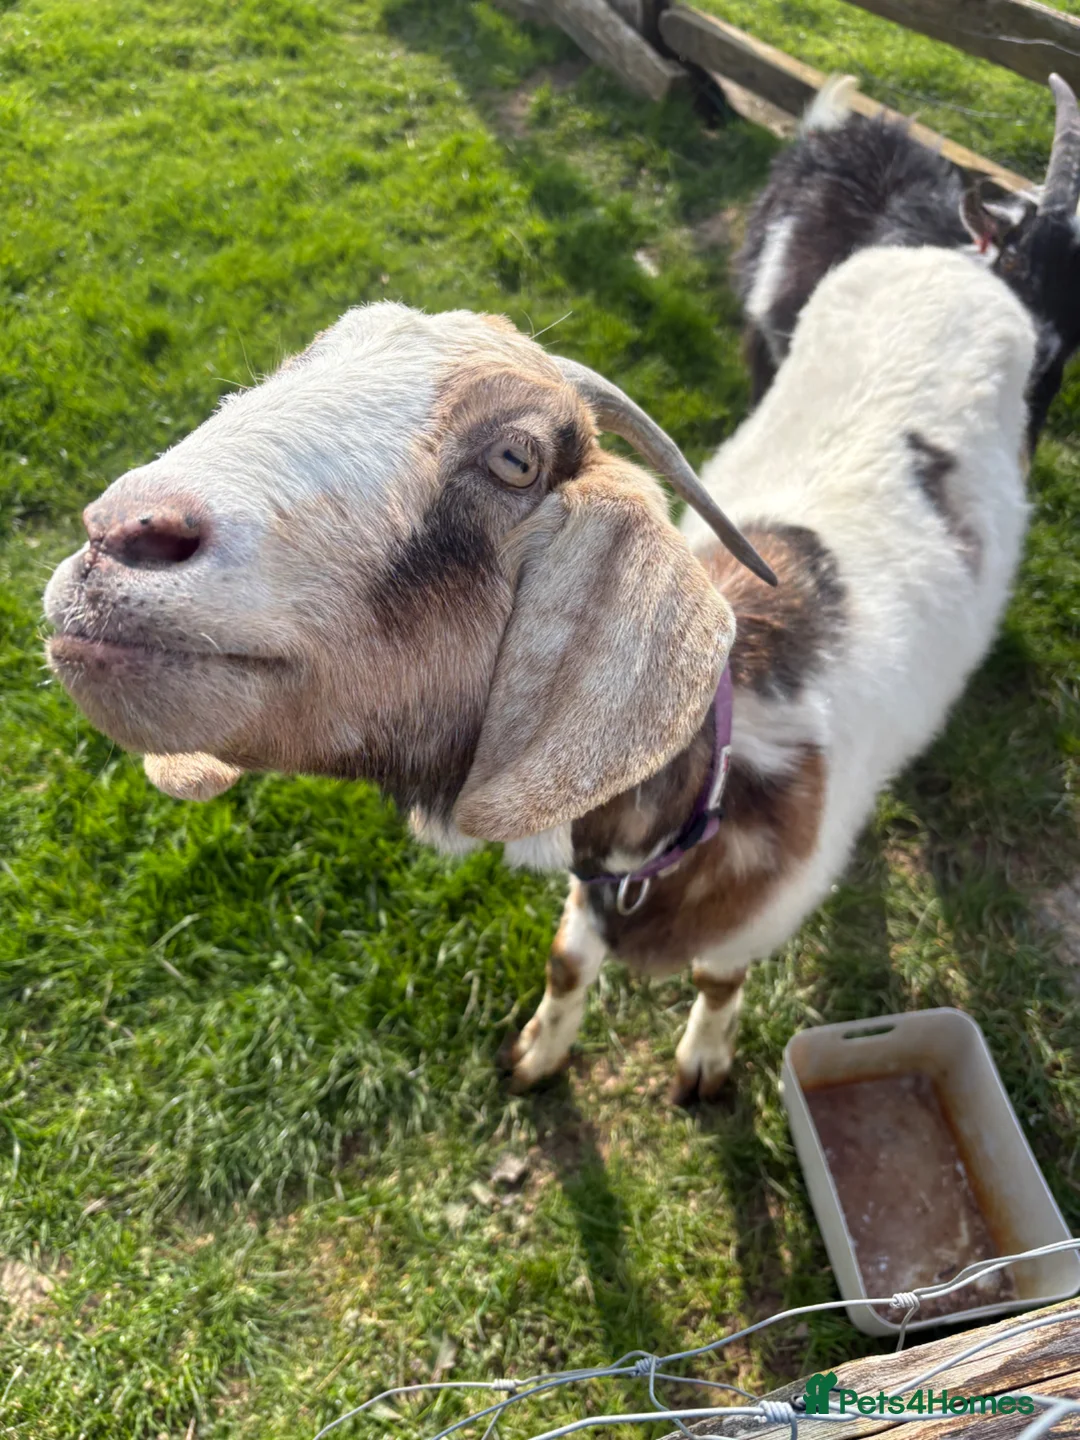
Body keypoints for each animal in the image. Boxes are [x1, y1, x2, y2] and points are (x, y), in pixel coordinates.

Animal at [45, 246, 1035, 1100]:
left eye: (516, 459)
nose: (116, 536)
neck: (716, 774)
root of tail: (960, 256)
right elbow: (566, 963)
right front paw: (536, 1056)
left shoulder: (753, 921)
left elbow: (719, 981)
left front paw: (704, 1065)